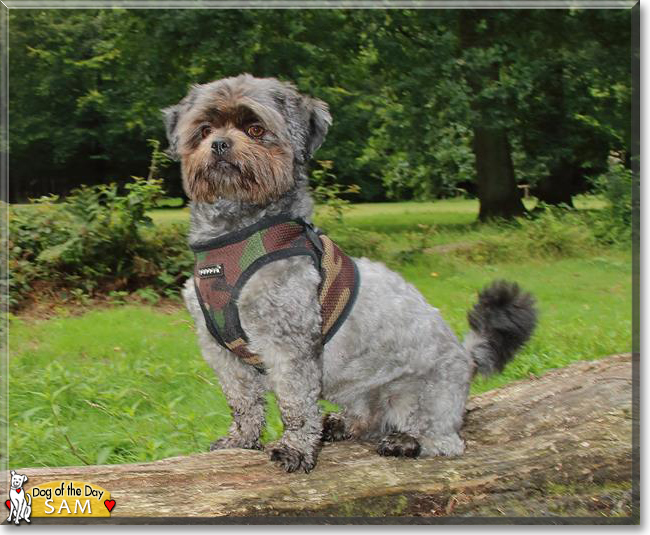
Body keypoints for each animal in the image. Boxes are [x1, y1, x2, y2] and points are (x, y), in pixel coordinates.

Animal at [163, 74, 536, 474]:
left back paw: (407, 442)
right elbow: (242, 400)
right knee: (368, 421)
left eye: (255, 129)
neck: (235, 236)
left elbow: (296, 404)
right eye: (204, 130)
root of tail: (467, 359)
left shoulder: (288, 342)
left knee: (444, 441)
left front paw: (295, 449)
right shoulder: (220, 349)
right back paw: (342, 424)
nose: (219, 144)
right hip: (359, 392)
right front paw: (242, 440)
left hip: (418, 398)